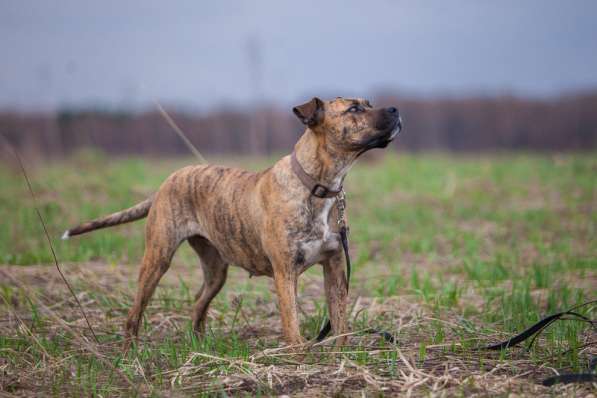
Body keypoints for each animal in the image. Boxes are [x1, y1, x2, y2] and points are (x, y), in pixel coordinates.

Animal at [61, 98, 400, 346]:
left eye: (368, 103)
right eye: (354, 109)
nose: (396, 109)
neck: (318, 185)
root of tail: (166, 182)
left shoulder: (335, 267)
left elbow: (339, 320)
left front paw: (341, 357)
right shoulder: (285, 272)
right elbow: (291, 324)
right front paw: (300, 360)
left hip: (216, 270)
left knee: (198, 304)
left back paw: (199, 345)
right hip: (158, 257)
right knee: (135, 311)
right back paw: (131, 350)